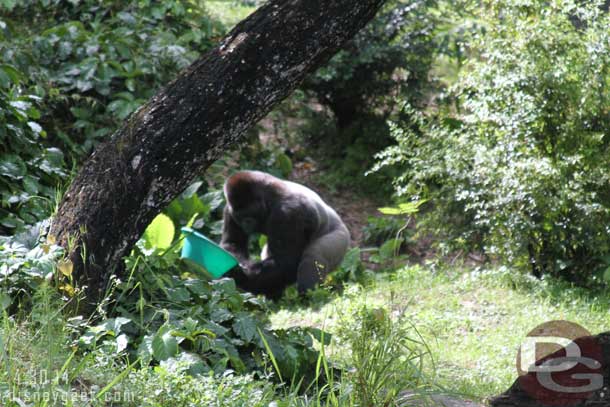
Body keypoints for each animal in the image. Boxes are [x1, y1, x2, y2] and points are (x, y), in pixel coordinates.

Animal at [221, 171, 350, 298]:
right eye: (239, 215)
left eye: (248, 212)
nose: (245, 223)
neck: (268, 199)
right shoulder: (229, 208)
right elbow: (232, 243)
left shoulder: (288, 213)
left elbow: (286, 263)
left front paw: (240, 275)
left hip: (340, 237)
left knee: (313, 256)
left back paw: (310, 297)